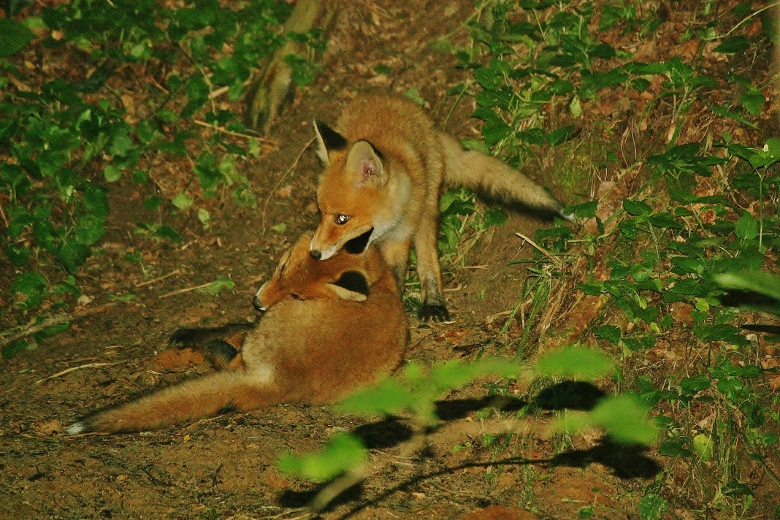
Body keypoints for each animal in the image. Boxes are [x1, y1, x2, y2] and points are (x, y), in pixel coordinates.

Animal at [67, 233, 408, 434]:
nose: (257, 303)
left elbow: (232, 327)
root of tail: (279, 383)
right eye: (282, 267)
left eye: (297, 296)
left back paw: (211, 350)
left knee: (230, 359)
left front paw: (193, 335)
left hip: (264, 333)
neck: (381, 281)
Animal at [306, 94, 568, 320]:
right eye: (321, 213)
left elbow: (396, 276)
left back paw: (433, 302)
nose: (314, 253)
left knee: (427, 254)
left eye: (342, 218)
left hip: (428, 208)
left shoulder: (400, 237)